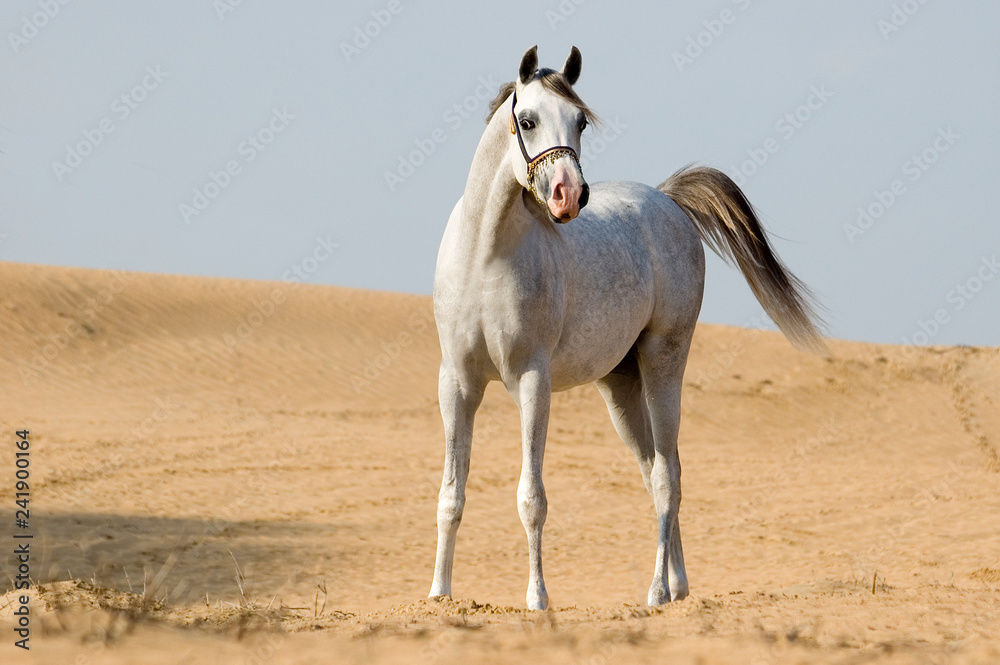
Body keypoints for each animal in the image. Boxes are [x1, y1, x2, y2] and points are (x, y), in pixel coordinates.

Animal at [428, 44, 820, 608]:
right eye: (527, 120)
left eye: (580, 121)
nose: (569, 196)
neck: (485, 255)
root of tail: (668, 201)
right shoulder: (457, 384)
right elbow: (450, 495)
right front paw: (438, 594)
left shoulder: (531, 381)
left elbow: (531, 497)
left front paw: (537, 599)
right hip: (620, 385)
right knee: (655, 470)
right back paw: (677, 587)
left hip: (663, 363)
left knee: (667, 476)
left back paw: (657, 592)